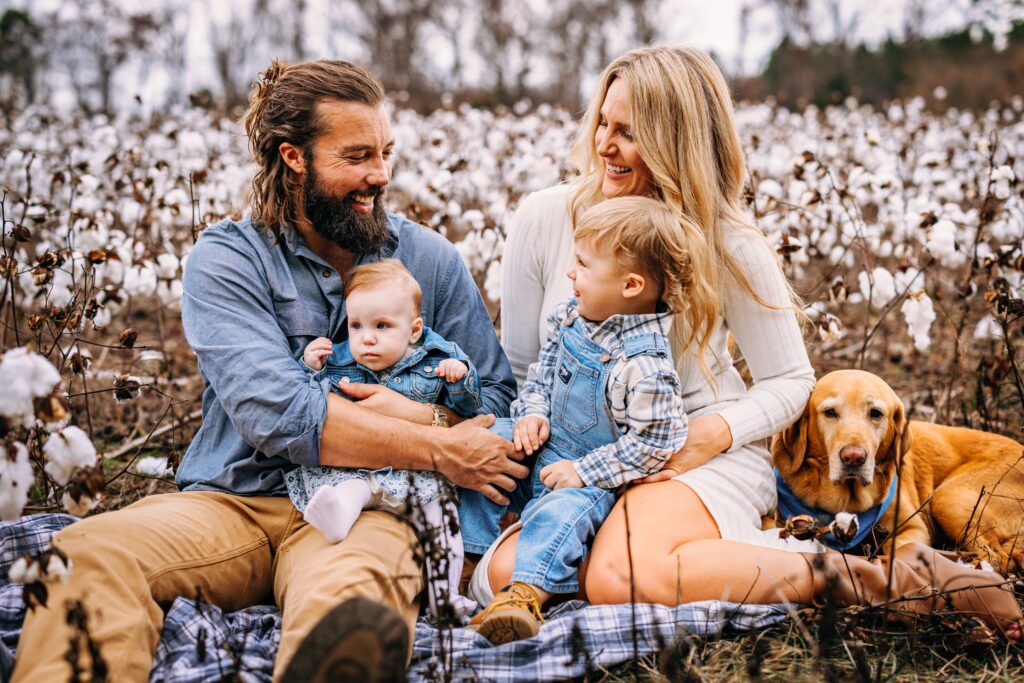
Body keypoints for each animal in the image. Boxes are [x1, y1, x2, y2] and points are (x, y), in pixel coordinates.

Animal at [774, 370, 1024, 569]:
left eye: (876, 413)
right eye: (830, 412)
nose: (854, 457)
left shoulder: (914, 529)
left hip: (949, 497)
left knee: (999, 559)